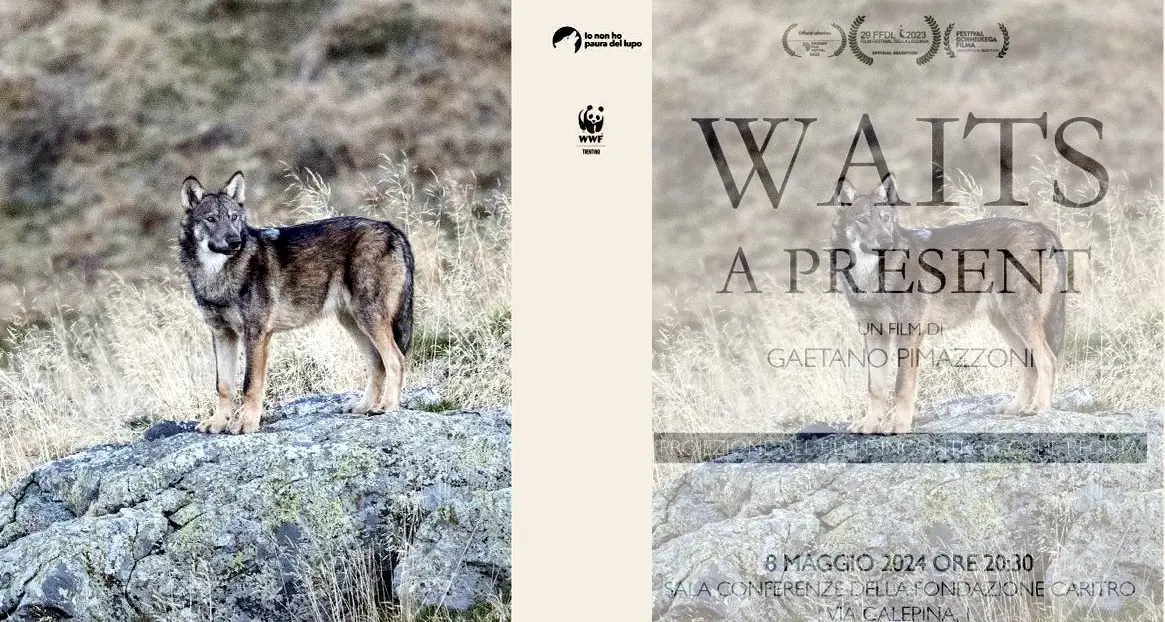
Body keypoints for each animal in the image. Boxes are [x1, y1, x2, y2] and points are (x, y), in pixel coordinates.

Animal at [179, 171, 414, 434]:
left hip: (369, 320)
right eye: (211, 219)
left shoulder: (256, 335)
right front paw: (218, 423)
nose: (234, 241)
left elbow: (250, 385)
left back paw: (387, 407)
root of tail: (392, 228)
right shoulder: (222, 334)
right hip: (353, 324)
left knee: (395, 360)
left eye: (233, 217)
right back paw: (363, 407)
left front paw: (247, 424)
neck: (217, 276)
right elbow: (224, 385)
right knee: (378, 365)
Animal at [833, 173, 1066, 433]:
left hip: (1020, 322)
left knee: (1048, 361)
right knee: (1031, 366)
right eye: (863, 220)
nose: (886, 240)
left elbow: (902, 386)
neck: (871, 279)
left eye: (885, 219)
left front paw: (899, 425)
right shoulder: (874, 334)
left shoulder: (909, 334)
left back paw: (1039, 409)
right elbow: (875, 387)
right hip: (1007, 326)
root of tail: (1044, 229)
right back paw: (1015, 408)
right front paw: (870, 423)